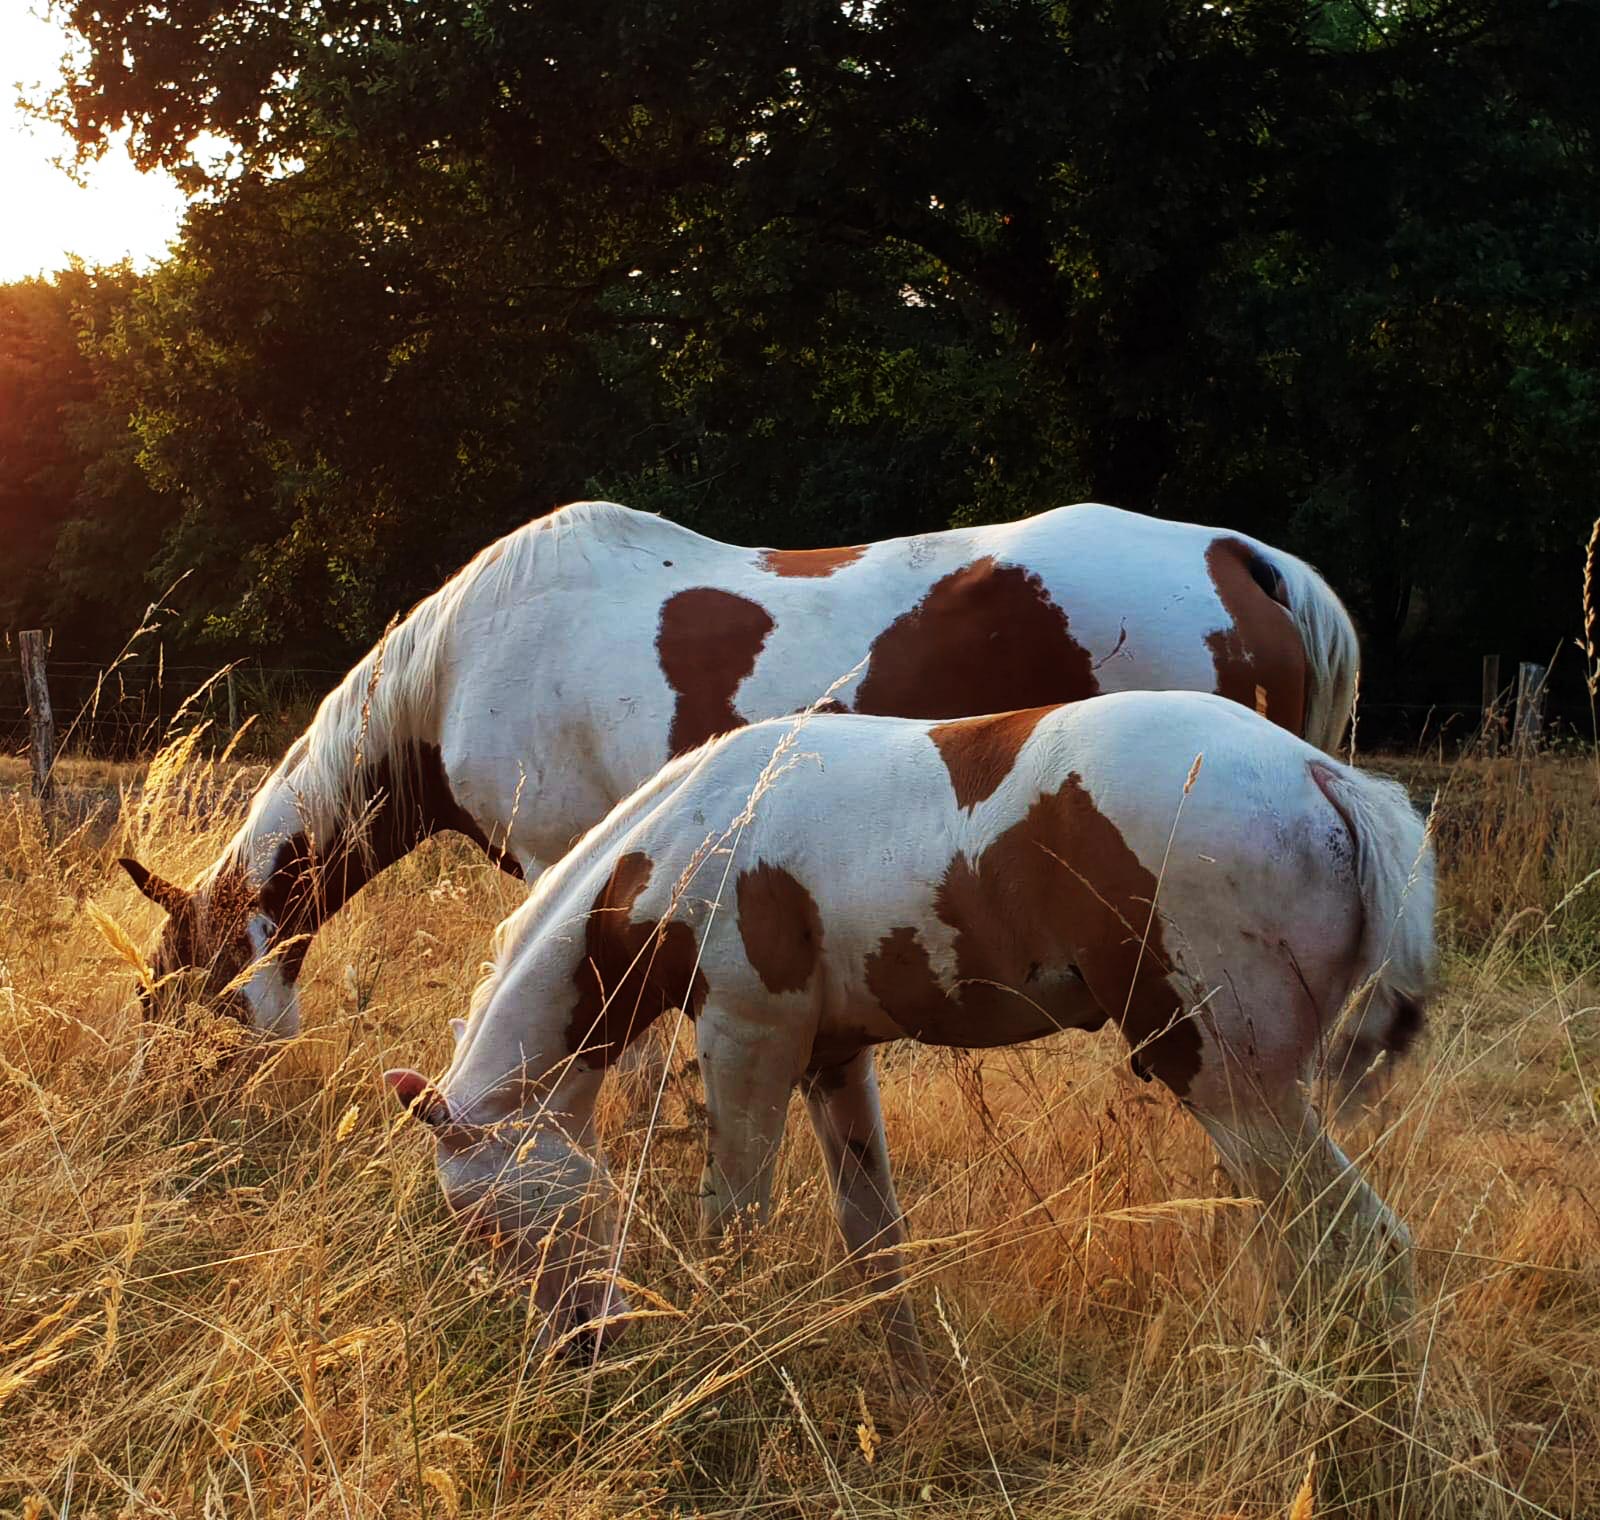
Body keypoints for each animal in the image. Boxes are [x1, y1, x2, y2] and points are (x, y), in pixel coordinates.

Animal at [384, 697, 1440, 1388]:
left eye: (492, 1225)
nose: (580, 1346)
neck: (702, 830)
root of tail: (1325, 778)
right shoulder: (832, 1058)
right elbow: (874, 1238)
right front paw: (911, 1382)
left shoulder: (749, 1041)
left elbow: (735, 1217)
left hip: (1235, 1089)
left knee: (1365, 1252)